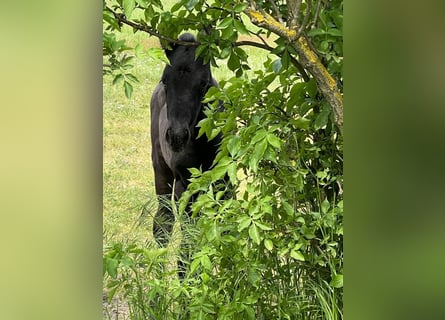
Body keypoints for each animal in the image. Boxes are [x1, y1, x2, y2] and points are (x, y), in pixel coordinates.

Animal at [150, 33, 219, 248]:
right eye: (165, 80)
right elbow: (189, 234)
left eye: (204, 83)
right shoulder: (186, 185)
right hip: (161, 168)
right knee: (163, 219)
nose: (177, 136)